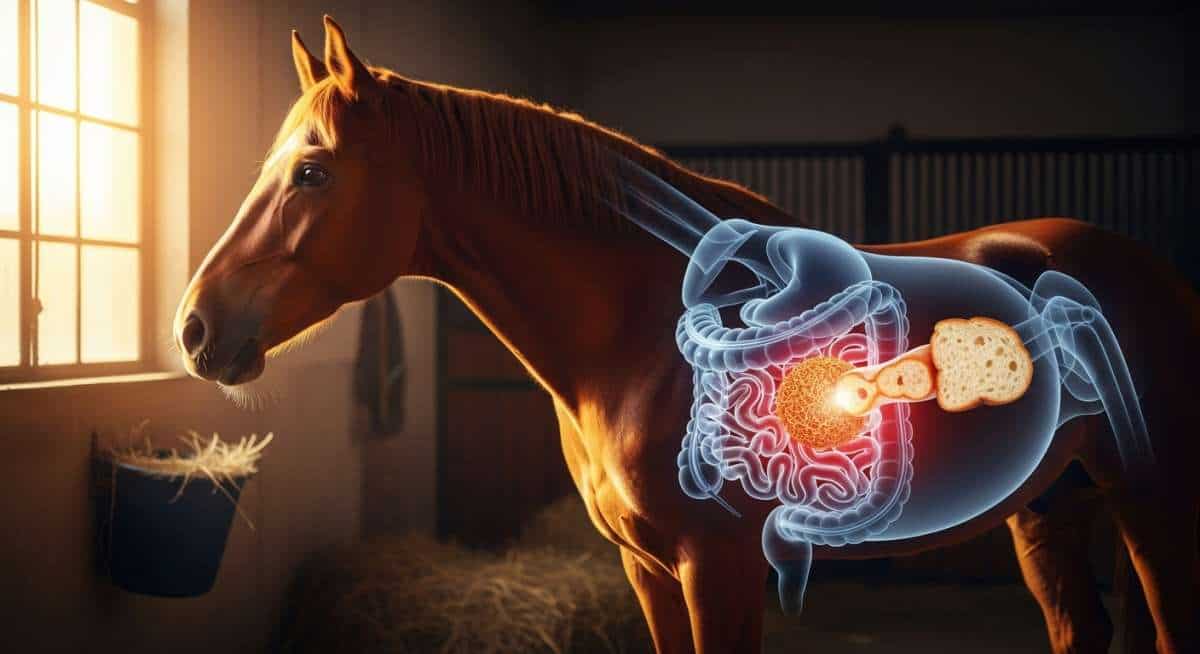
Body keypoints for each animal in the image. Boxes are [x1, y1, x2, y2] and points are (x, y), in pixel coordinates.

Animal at [174, 17, 1198, 654]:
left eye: (312, 171)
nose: (195, 327)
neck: (643, 336)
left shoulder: (721, 570)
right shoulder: (649, 570)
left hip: (1150, 502)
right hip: (1050, 508)